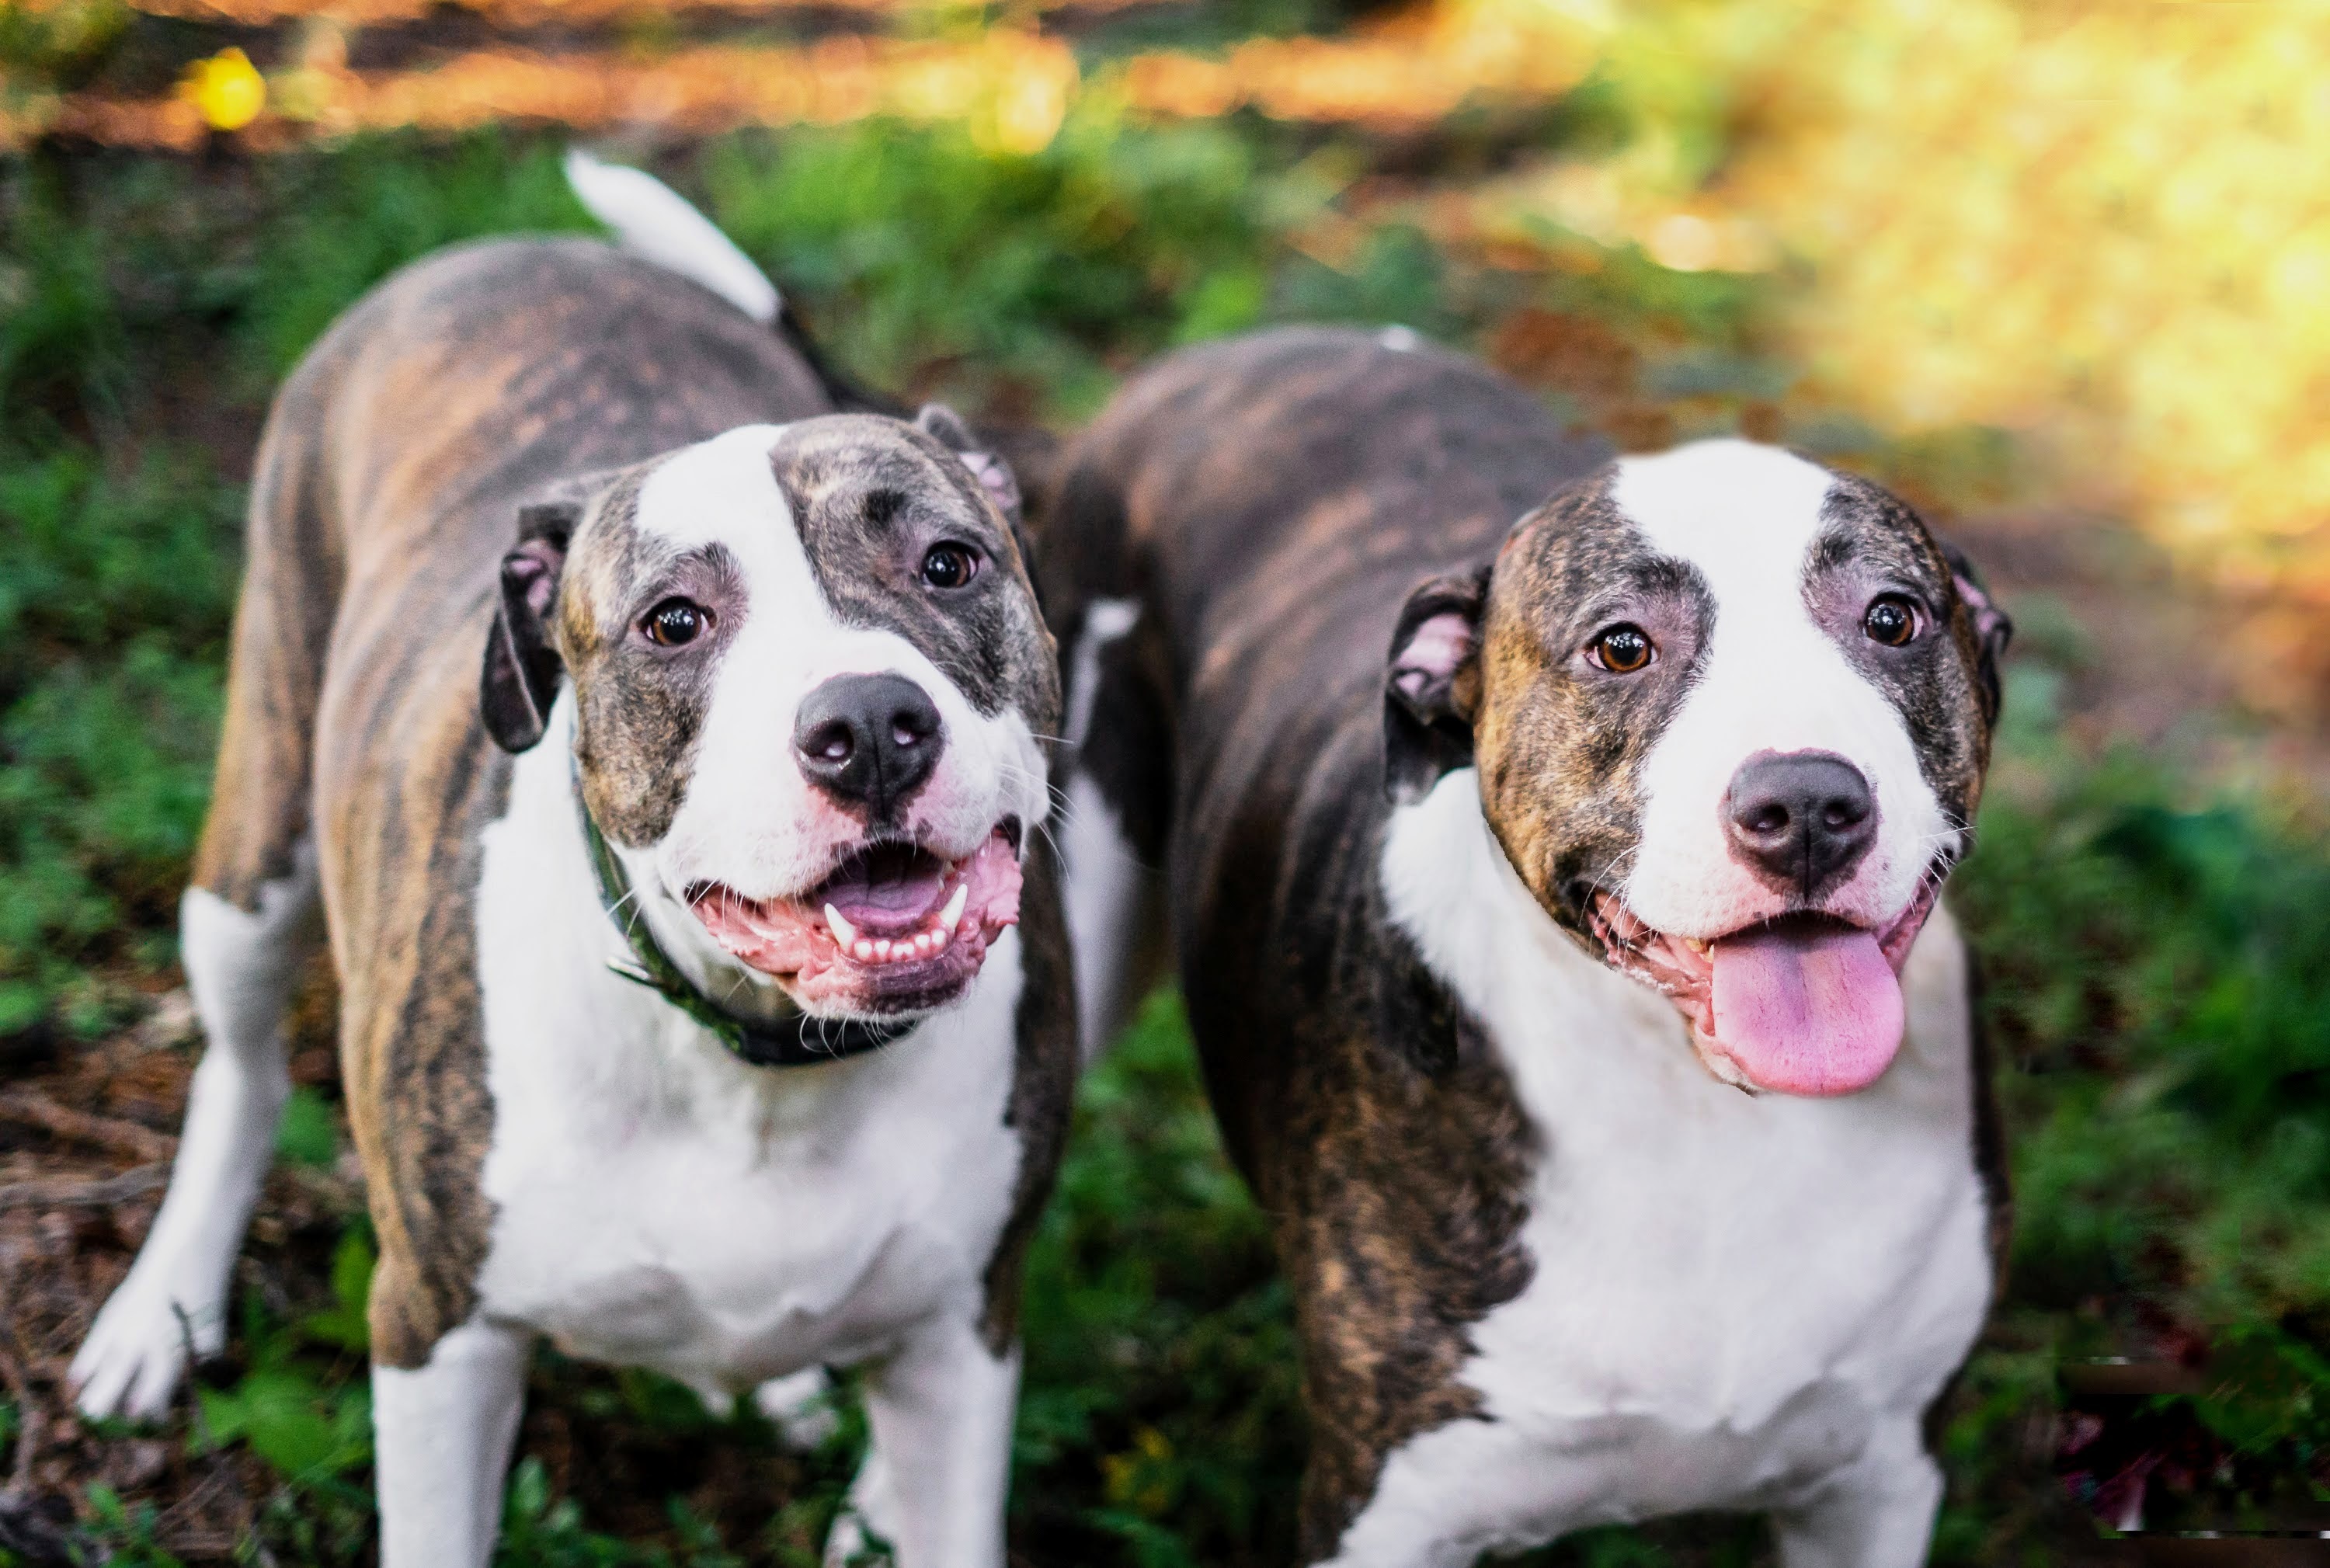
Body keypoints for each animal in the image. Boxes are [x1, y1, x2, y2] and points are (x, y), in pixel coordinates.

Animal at [1048, 324, 2013, 1556]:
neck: (1701, 1111)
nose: (1805, 803)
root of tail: (1249, 346)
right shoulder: (1383, 1509)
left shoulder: (1878, 1484)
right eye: (1621, 646)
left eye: (1894, 618)